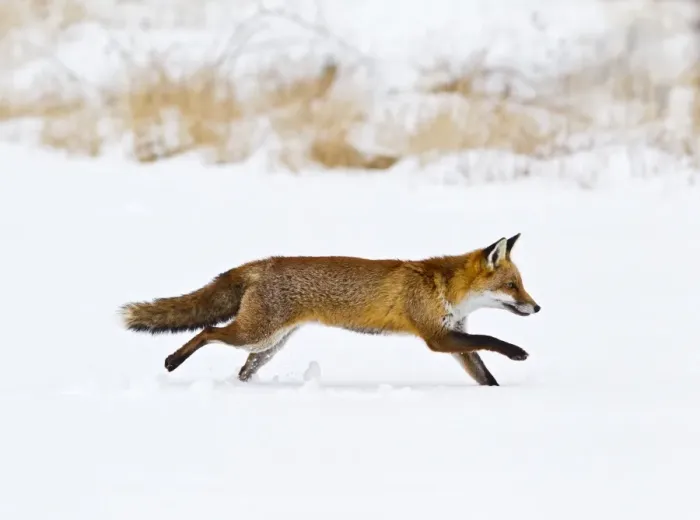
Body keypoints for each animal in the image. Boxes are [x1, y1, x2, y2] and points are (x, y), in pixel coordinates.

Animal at [119, 233, 540, 386]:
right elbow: (491, 338)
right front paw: (518, 352)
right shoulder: (436, 337)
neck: (446, 289)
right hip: (254, 334)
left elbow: (484, 372)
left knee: (243, 367)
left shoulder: (455, 336)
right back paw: (173, 361)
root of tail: (262, 263)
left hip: (268, 345)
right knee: (207, 332)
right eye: (512, 286)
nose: (536, 307)